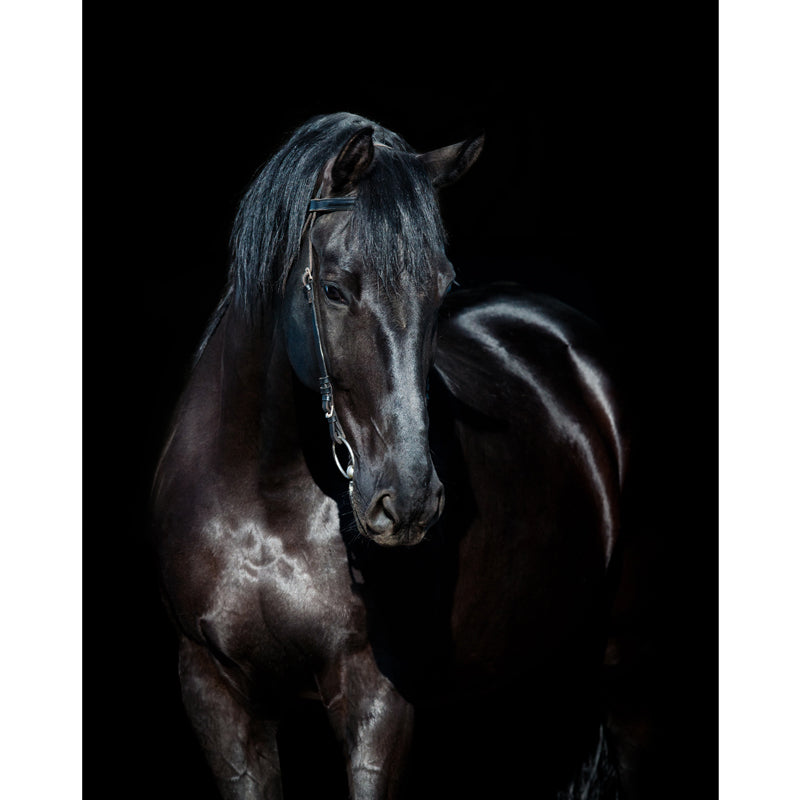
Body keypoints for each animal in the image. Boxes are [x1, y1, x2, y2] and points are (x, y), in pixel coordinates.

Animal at [151, 112, 634, 799]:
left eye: (442, 288)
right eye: (332, 289)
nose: (406, 502)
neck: (264, 501)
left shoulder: (377, 698)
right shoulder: (216, 694)